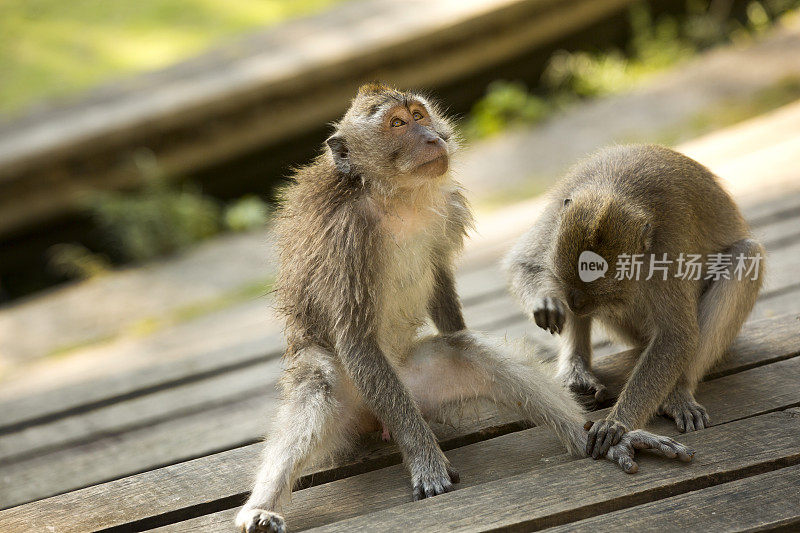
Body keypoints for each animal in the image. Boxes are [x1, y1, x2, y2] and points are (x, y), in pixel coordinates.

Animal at [234, 88, 692, 532]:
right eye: (397, 124)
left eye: (419, 115)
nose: (431, 137)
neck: (394, 199)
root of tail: (375, 418)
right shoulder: (344, 239)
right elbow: (355, 338)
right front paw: (425, 458)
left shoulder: (445, 208)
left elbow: (439, 282)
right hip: (370, 391)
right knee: (321, 386)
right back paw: (261, 507)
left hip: (417, 388)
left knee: (470, 353)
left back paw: (600, 439)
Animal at [506, 143, 764, 460]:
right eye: (567, 285)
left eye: (606, 295)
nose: (576, 304)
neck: (614, 190)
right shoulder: (557, 217)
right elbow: (523, 263)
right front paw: (546, 303)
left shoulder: (666, 249)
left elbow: (676, 335)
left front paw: (617, 423)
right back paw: (577, 369)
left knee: (747, 255)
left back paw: (679, 390)